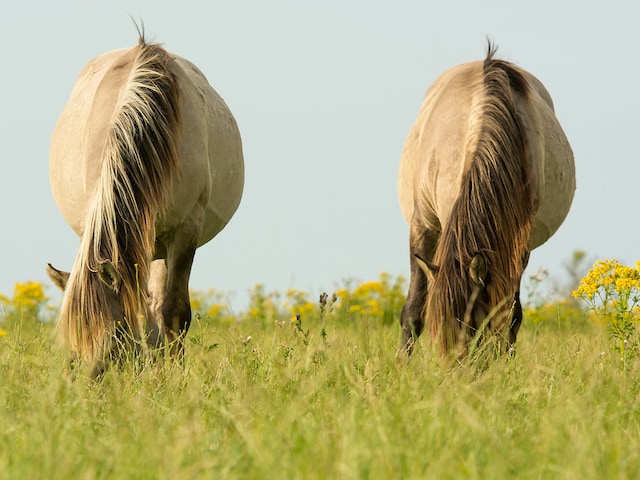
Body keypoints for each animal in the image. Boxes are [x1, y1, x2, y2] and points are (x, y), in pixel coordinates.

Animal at [47, 36, 245, 376]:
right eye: (72, 342)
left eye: (115, 333)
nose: (86, 384)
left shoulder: (185, 231)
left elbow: (174, 312)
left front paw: (171, 377)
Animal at [400, 43, 576, 356]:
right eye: (438, 328)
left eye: (475, 325)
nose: (458, 367)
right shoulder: (423, 226)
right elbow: (413, 310)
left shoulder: (516, 243)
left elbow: (508, 315)